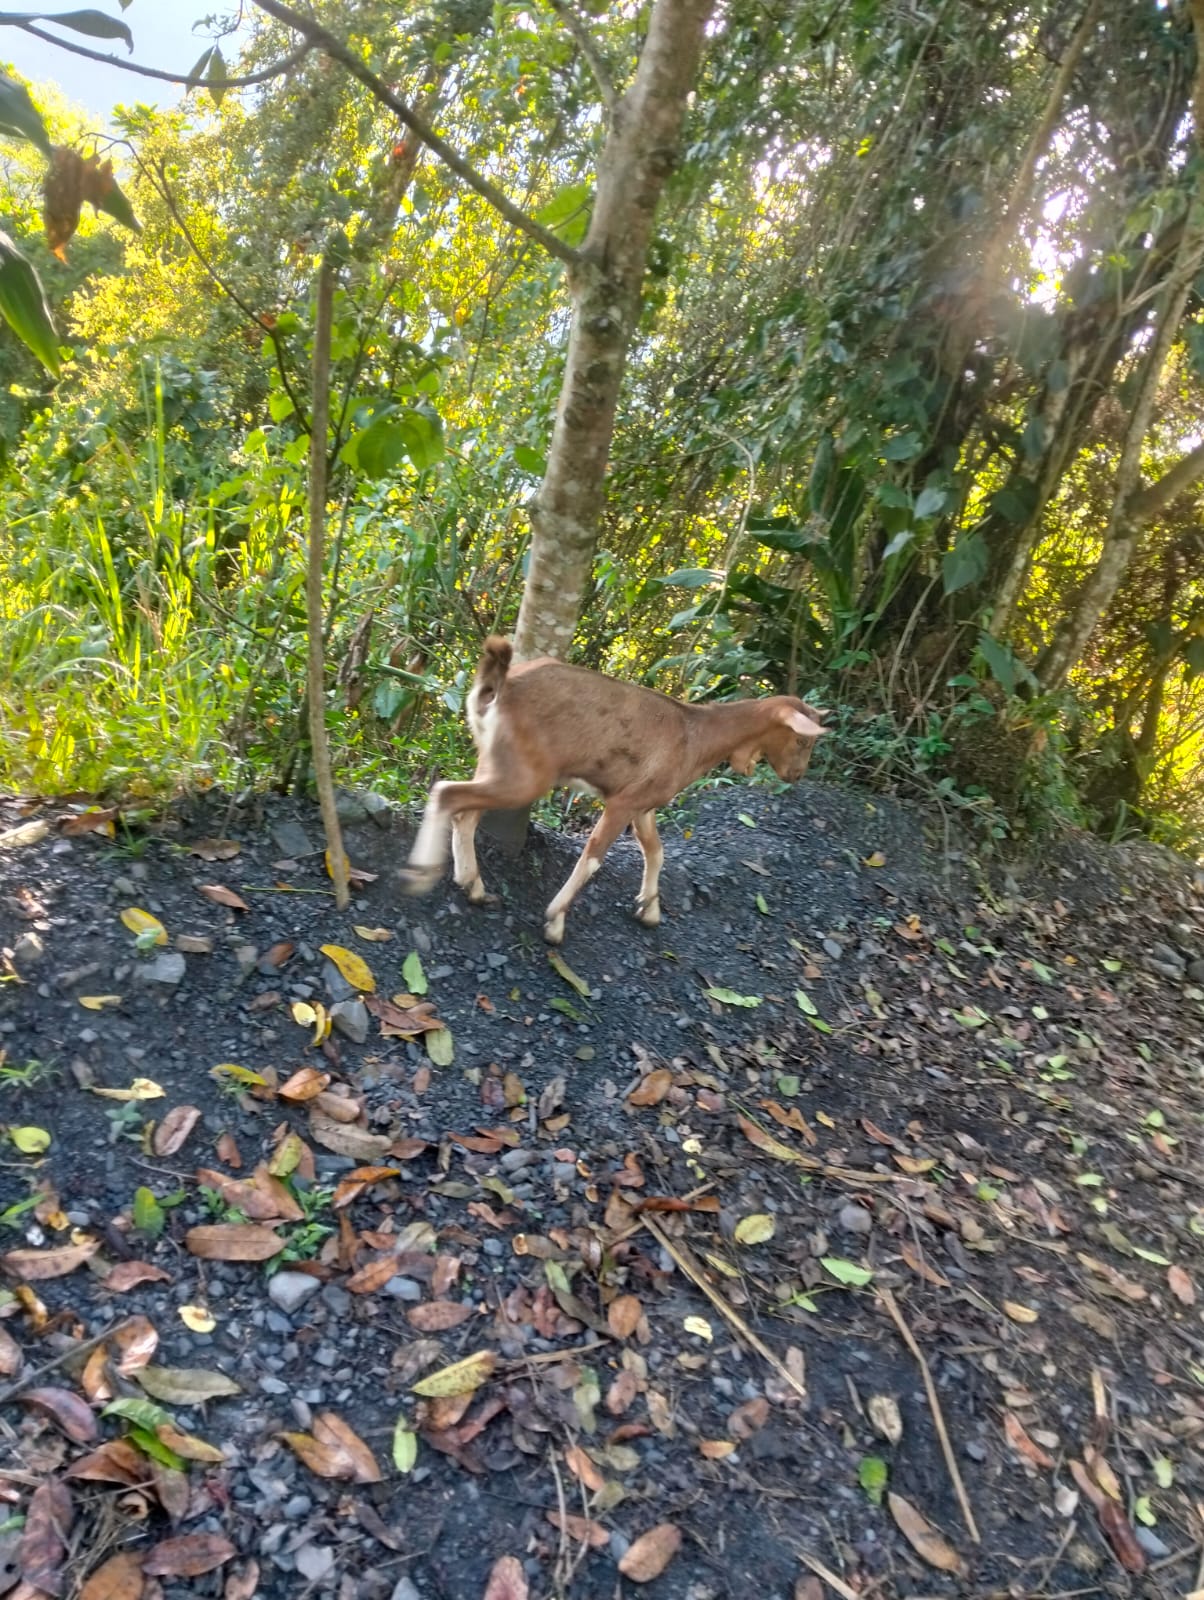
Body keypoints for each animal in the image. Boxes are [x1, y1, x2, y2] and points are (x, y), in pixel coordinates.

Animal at [401, 637, 827, 944]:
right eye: (803, 740)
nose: (797, 774)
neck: (696, 735)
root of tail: (499, 687)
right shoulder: (623, 802)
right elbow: (593, 856)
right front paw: (555, 922)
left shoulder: (645, 803)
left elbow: (656, 851)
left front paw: (649, 910)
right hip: (524, 775)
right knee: (449, 794)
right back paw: (423, 873)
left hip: (496, 763)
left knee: (466, 812)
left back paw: (472, 885)